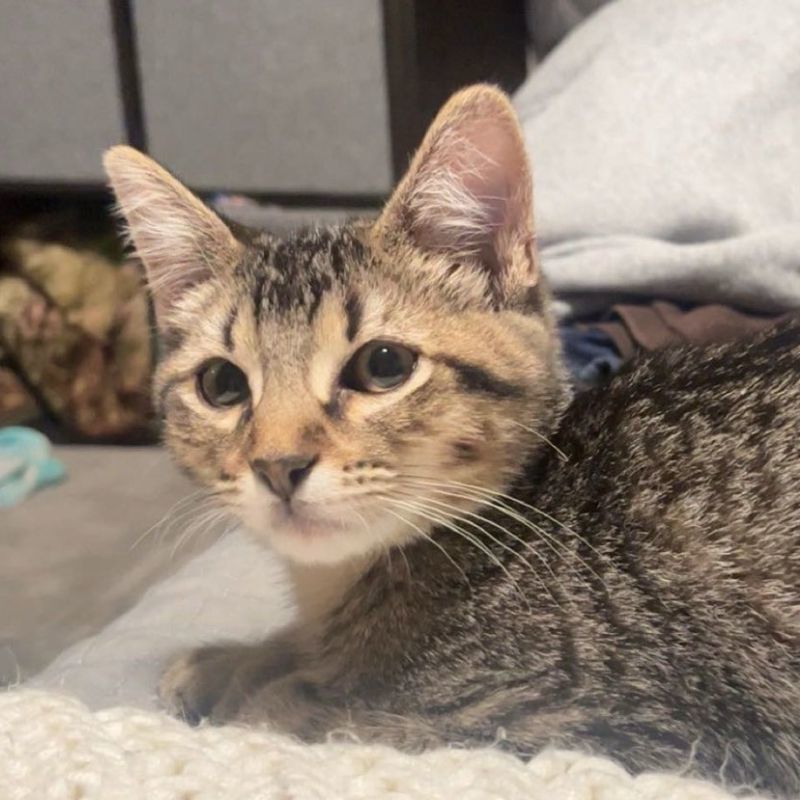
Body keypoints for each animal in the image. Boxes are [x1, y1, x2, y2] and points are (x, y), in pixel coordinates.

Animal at [103, 84, 800, 796]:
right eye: (221, 384)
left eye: (382, 365)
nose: (278, 465)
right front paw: (234, 661)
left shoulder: (620, 726)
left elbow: (307, 715)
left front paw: (255, 692)